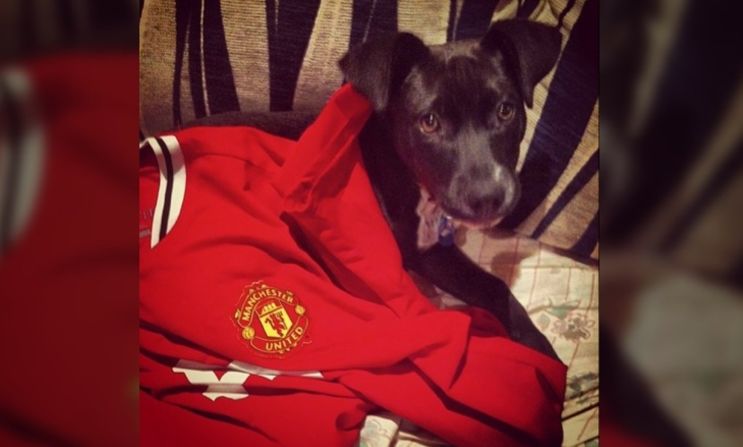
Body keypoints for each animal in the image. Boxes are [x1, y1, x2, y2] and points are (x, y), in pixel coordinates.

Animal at [340, 19, 560, 358]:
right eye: (429, 122)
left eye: (505, 110)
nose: (487, 198)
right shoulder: (418, 251)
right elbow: (494, 285)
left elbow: (492, 286)